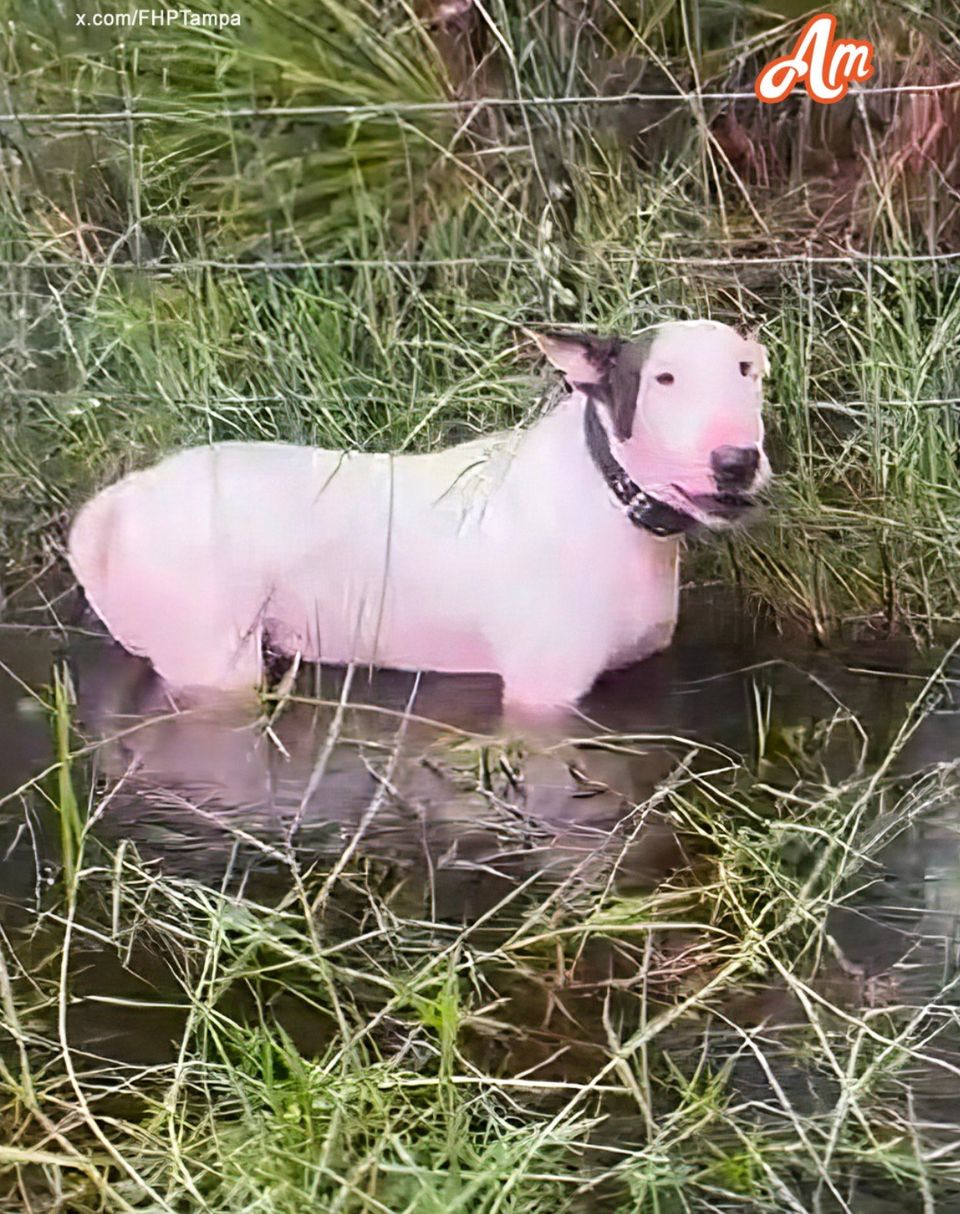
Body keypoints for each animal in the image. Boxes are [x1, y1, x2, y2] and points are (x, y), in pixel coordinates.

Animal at [69, 318, 771, 708]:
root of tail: (118, 502)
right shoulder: (543, 696)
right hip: (214, 660)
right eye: (663, 379)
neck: (607, 496)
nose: (736, 461)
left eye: (748, 370)